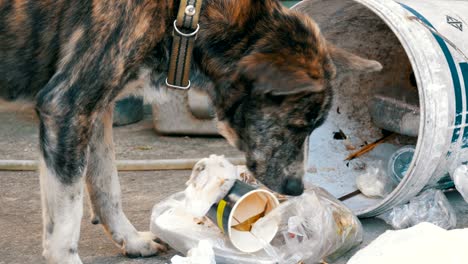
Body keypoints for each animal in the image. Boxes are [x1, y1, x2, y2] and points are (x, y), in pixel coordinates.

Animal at [0, 0, 380, 262]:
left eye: (315, 128)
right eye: (297, 125)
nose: (296, 189)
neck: (186, 12)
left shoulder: (97, 110)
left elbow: (107, 186)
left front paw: (131, 241)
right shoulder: (66, 105)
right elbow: (65, 222)